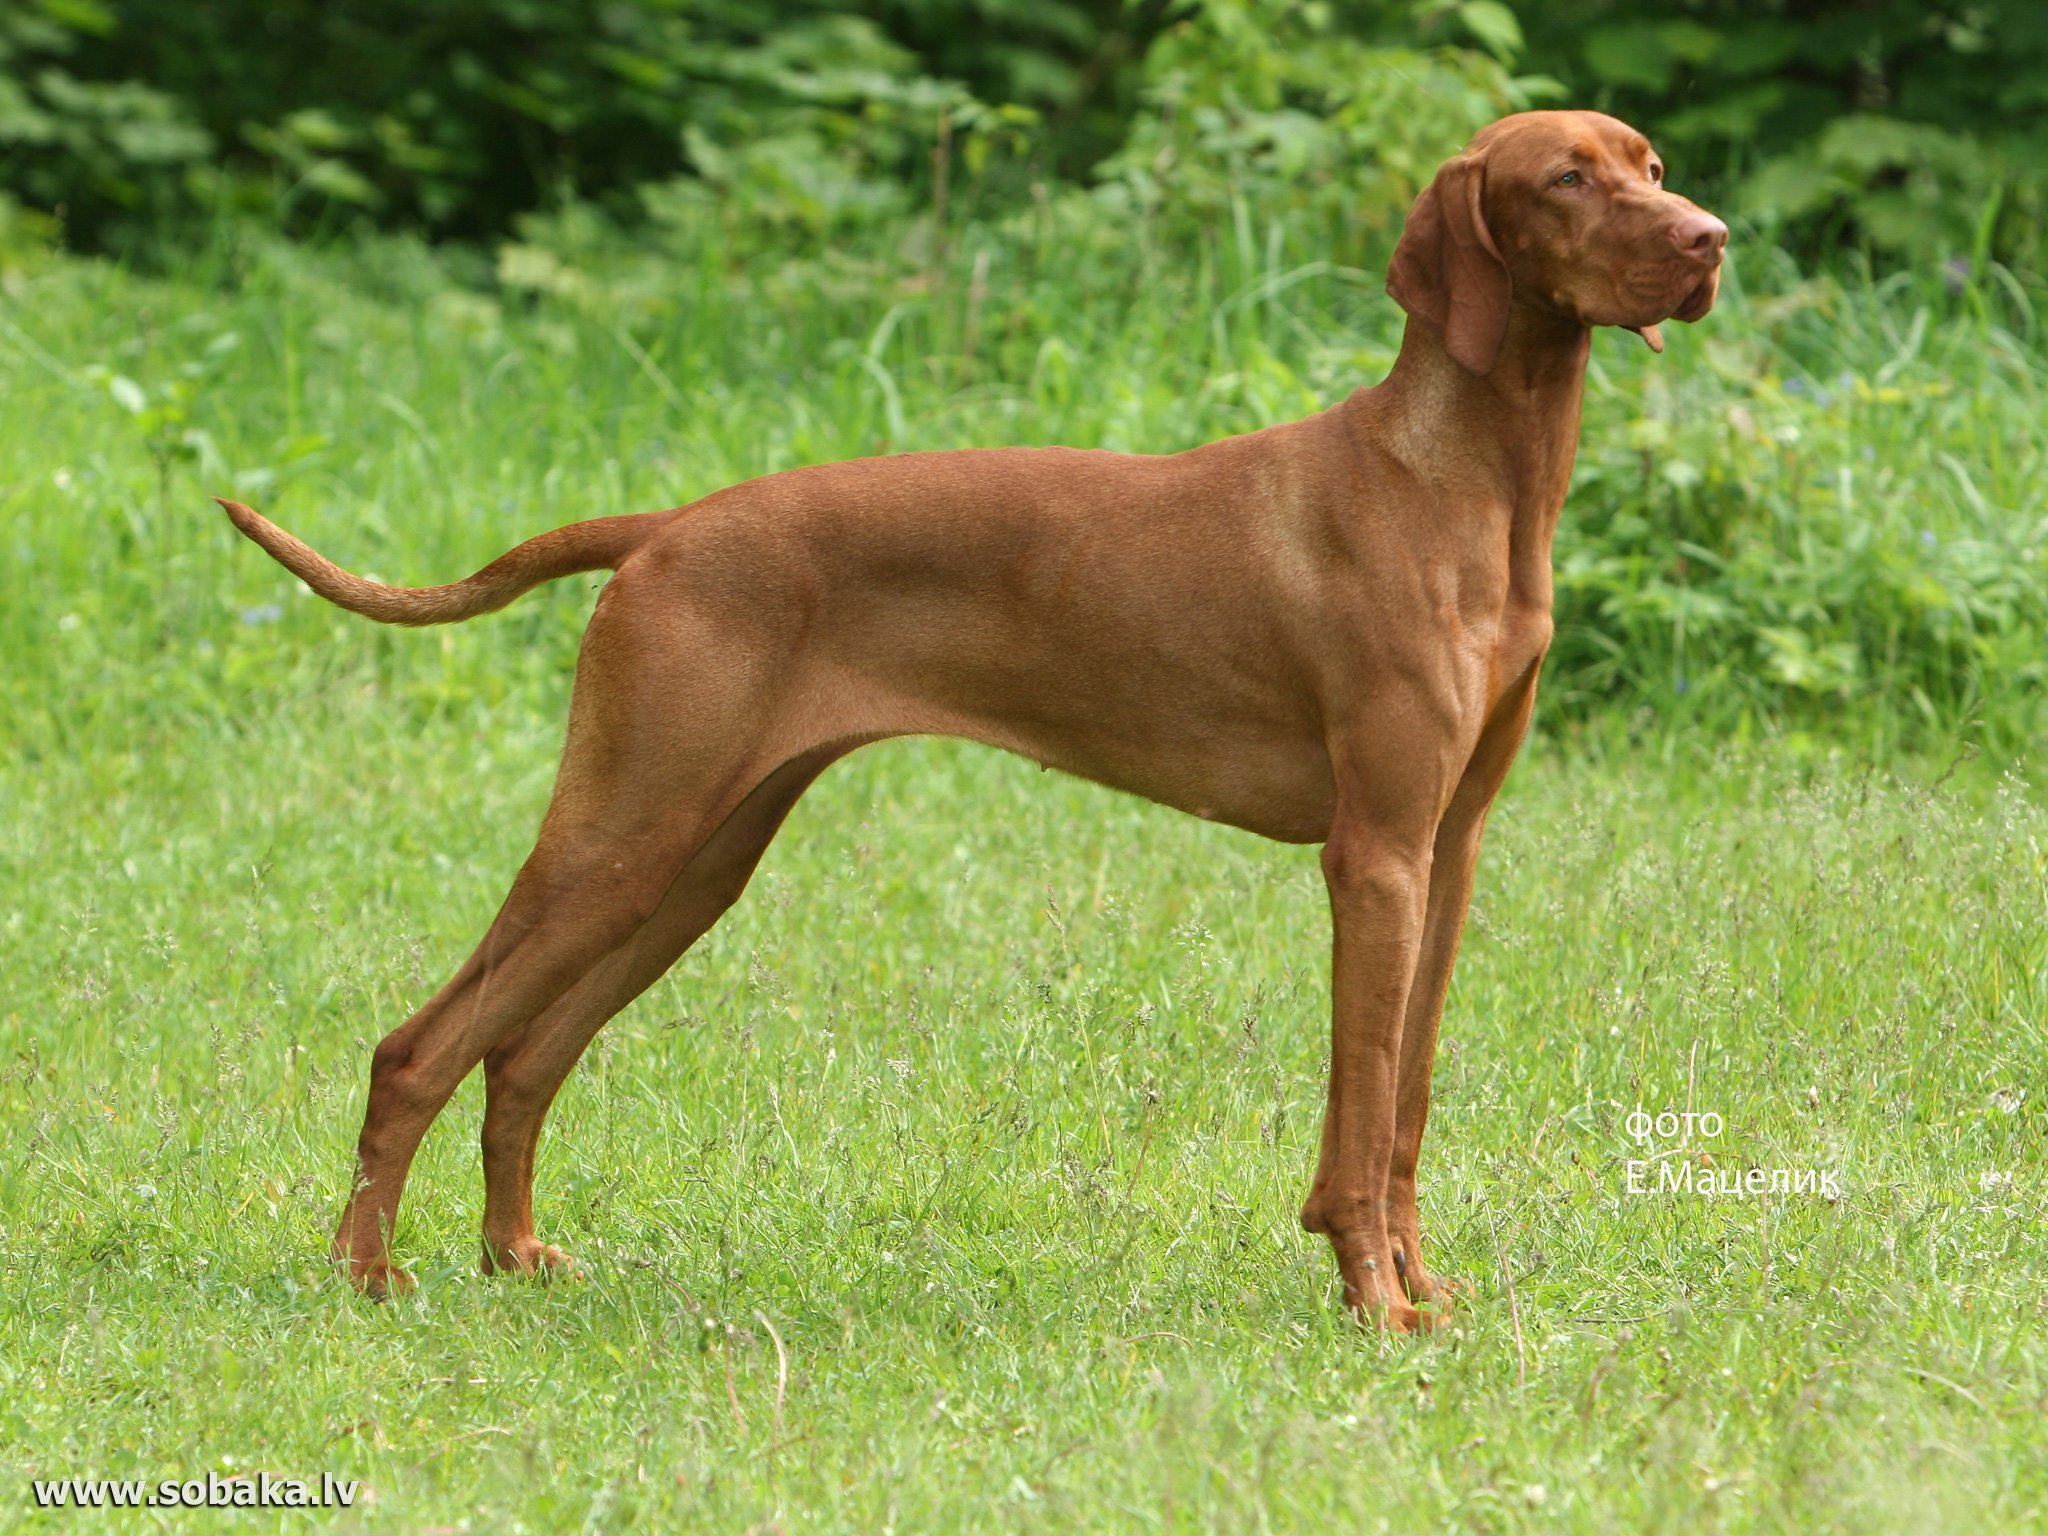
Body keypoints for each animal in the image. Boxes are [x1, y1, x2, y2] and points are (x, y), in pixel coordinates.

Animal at [216, 111, 1720, 1335]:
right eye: (1564, 178)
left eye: (1650, 168)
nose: (1711, 240)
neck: (1464, 486)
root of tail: (668, 527)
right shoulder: (1375, 859)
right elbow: (1357, 1123)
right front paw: (1372, 1302)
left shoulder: (1447, 858)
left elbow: (1402, 1106)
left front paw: (1417, 1282)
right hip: (623, 832)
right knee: (420, 1048)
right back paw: (367, 1276)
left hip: (699, 855)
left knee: (524, 1054)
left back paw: (513, 1256)